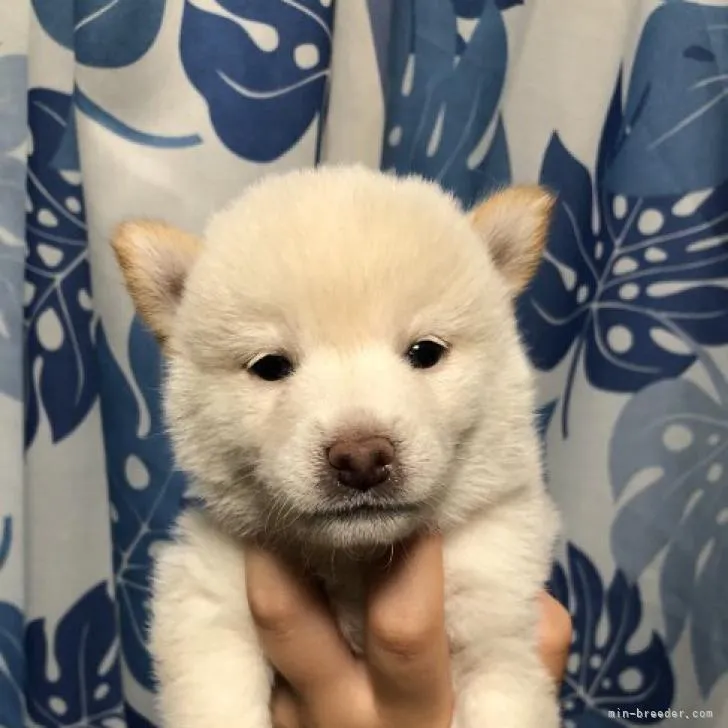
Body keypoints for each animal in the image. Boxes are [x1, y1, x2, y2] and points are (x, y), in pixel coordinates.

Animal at [111, 166, 560, 728]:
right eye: (270, 366)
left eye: (425, 352)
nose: (361, 458)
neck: (354, 564)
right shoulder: (208, 602)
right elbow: (218, 696)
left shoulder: (498, 632)